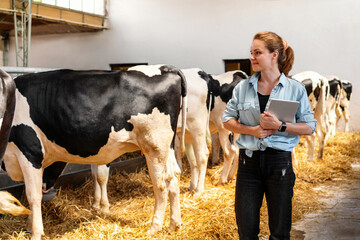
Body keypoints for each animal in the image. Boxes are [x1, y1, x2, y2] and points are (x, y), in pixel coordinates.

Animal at [2, 64, 187, 239]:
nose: (47, 186)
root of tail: (164, 68)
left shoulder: (30, 152)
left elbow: (32, 195)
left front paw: (35, 232)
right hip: (167, 147)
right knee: (173, 177)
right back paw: (174, 224)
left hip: (154, 146)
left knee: (161, 184)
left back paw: (155, 227)